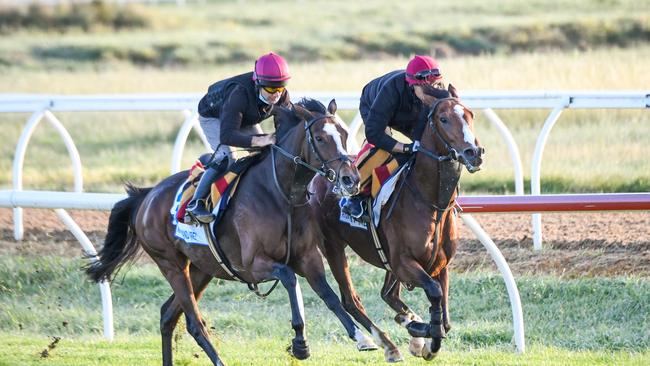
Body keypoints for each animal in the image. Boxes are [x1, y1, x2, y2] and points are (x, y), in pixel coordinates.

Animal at [86, 98, 380, 364]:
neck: (281, 194)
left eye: (344, 134)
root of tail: (146, 197)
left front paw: (362, 338)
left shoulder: (308, 257)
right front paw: (300, 343)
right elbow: (288, 278)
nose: (350, 179)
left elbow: (330, 296)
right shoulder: (252, 264)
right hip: (171, 265)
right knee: (194, 323)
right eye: (319, 138)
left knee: (168, 316)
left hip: (202, 268)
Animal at [308, 84, 480, 362]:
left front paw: (422, 336)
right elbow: (434, 297)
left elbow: (445, 318)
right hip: (332, 246)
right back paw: (387, 344)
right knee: (351, 299)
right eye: (444, 119)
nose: (474, 153)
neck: (431, 202)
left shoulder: (439, 265)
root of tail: (321, 175)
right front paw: (422, 333)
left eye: (470, 115)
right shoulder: (404, 262)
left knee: (387, 294)